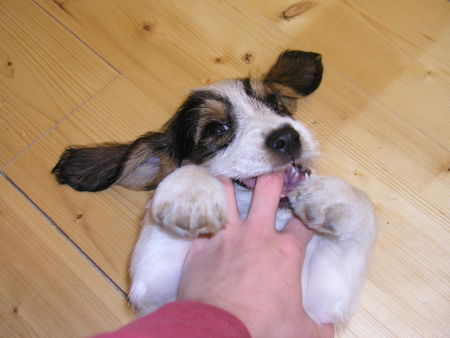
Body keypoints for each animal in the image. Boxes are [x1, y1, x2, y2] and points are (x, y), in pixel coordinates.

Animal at [51, 50, 376, 328]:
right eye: (216, 129)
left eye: (276, 104)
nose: (288, 137)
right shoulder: (156, 286)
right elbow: (184, 174)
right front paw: (191, 195)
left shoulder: (322, 301)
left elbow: (365, 205)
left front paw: (332, 196)